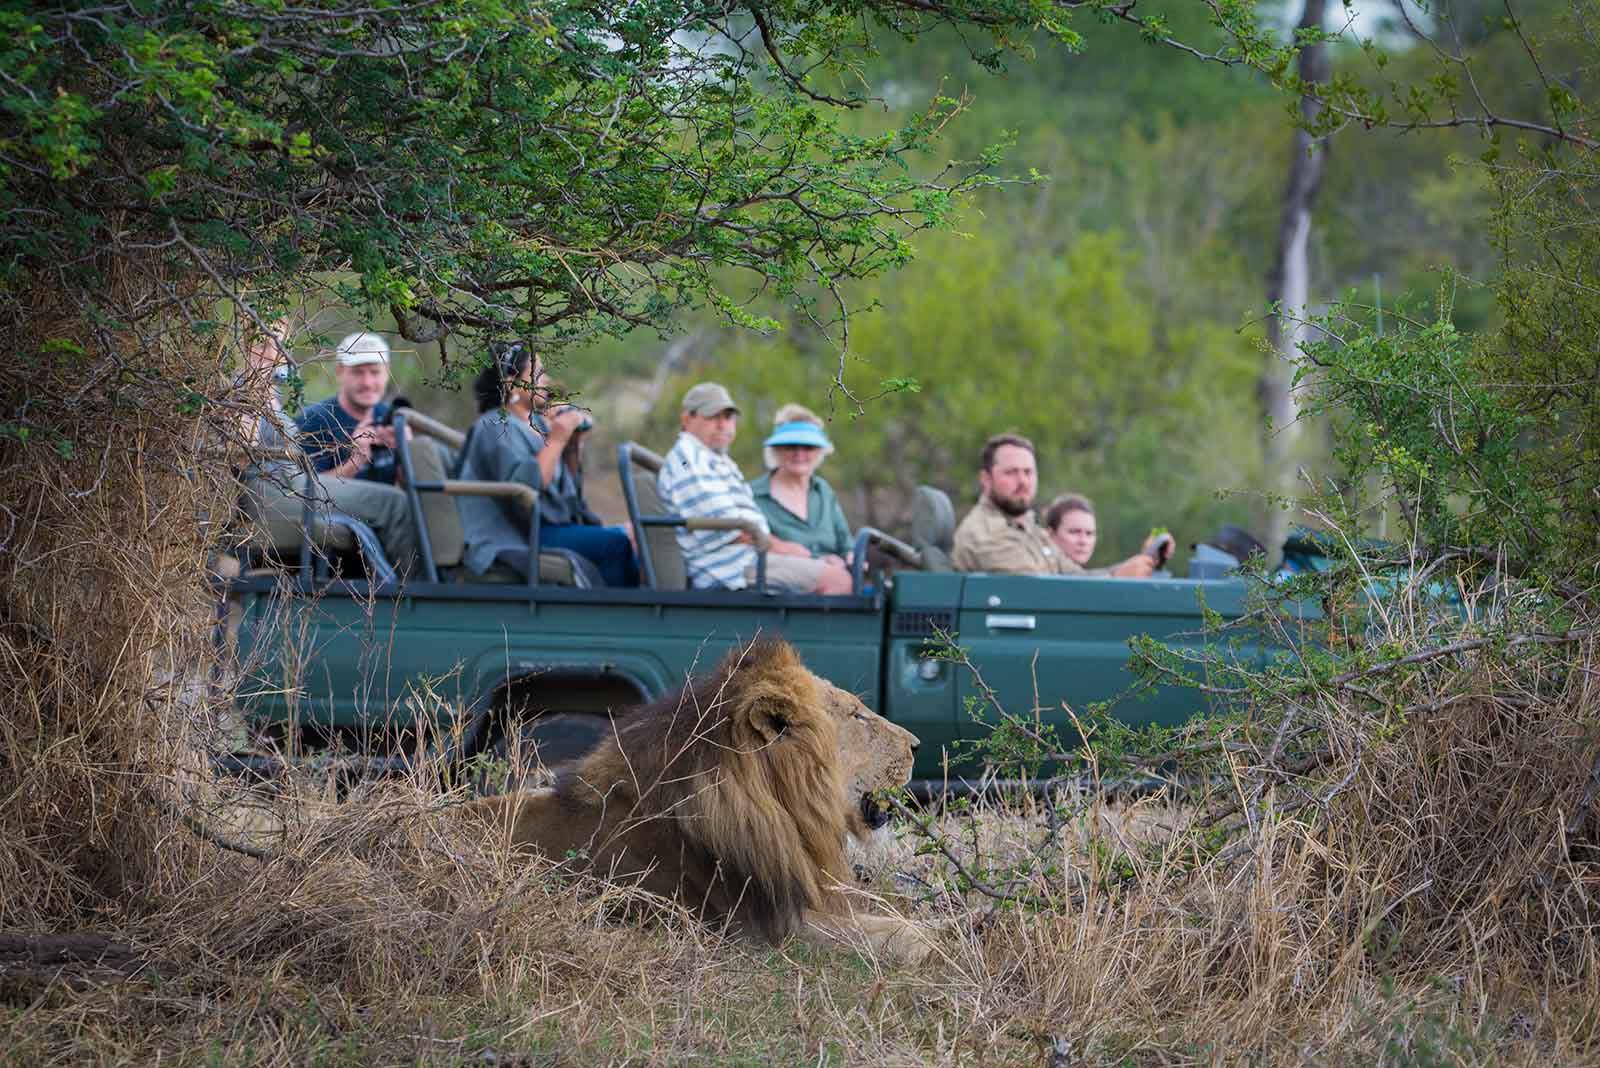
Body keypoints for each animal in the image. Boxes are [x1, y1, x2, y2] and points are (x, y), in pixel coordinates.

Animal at [464, 639, 934, 965]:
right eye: (857, 714)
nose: (917, 744)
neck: (781, 811)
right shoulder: (759, 930)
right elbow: (903, 934)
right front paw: (935, 941)